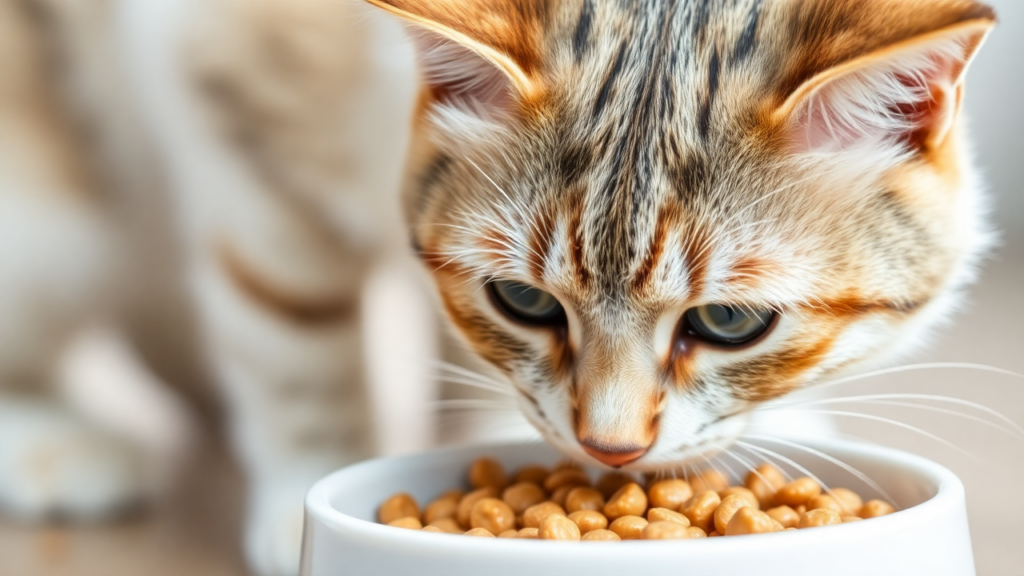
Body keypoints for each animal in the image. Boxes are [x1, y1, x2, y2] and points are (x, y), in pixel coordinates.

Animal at [0, 0, 995, 569]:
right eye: (525, 302)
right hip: (50, 211)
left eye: (729, 320)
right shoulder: (226, 95)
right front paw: (307, 489)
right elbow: (291, 330)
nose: (612, 453)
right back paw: (56, 443)